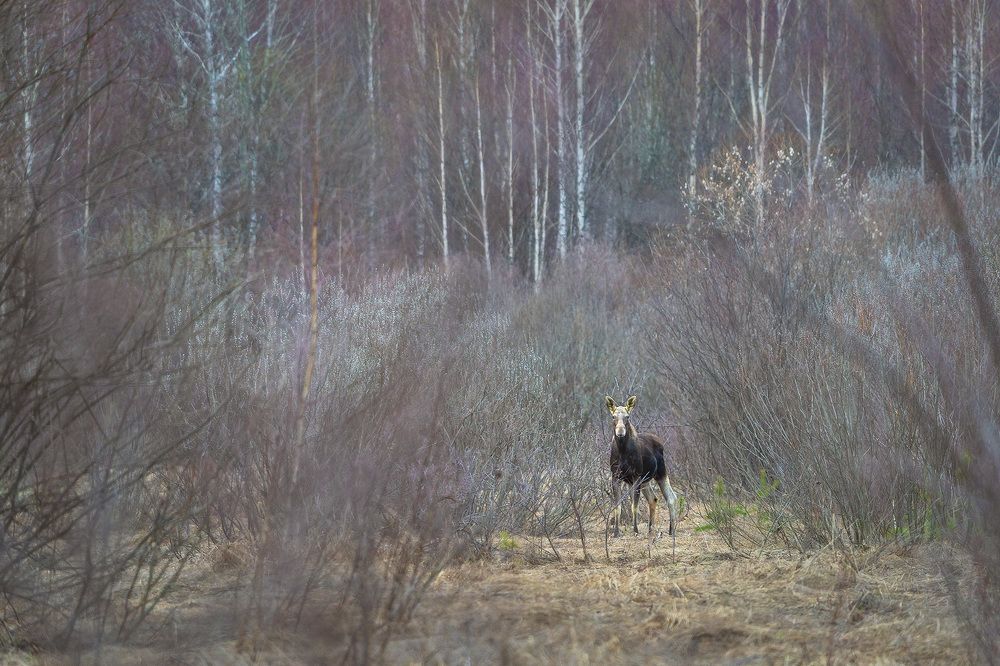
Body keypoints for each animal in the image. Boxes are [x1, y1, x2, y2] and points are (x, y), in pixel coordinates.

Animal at [606, 395, 679, 554]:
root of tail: (660, 442)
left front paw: (635, 530)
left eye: (627, 416)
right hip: (646, 480)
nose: (620, 432)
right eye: (613, 416)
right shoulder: (615, 477)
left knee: (671, 497)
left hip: (660, 473)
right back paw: (651, 529)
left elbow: (634, 505)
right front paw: (616, 532)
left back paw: (672, 530)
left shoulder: (636, 476)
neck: (622, 452)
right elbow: (617, 506)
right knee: (654, 498)